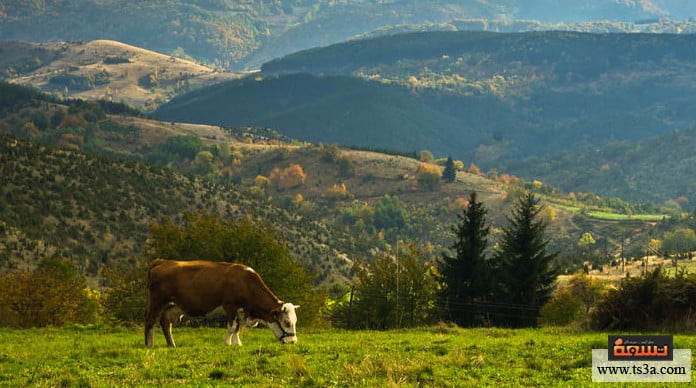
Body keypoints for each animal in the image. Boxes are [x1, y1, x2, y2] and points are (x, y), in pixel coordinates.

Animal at [144, 260, 300, 348]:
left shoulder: (240, 311)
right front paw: (228, 344)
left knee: (166, 324)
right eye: (286, 322)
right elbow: (231, 327)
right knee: (150, 322)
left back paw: (172, 344)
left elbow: (237, 328)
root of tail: (161, 262)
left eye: (295, 321)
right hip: (157, 302)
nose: (293, 342)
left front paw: (237, 344)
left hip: (172, 307)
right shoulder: (230, 306)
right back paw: (149, 345)